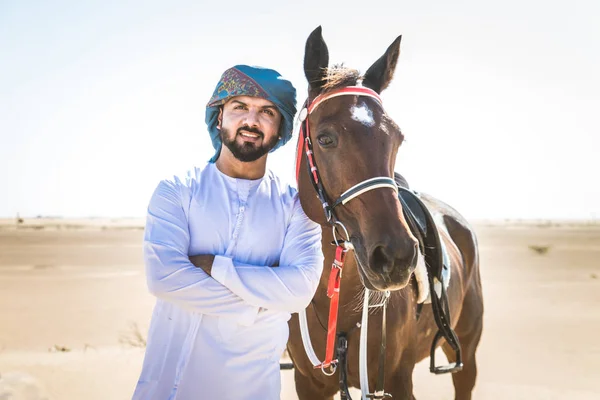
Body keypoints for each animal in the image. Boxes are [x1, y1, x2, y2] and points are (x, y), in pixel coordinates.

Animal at [286, 26, 482, 398]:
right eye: (325, 138)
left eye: (398, 139)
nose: (396, 257)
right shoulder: (308, 383)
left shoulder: (397, 380)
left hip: (466, 347)